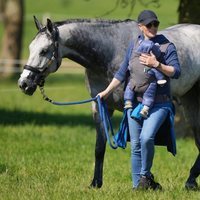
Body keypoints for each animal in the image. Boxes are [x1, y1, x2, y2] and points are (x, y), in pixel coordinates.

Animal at [18, 17, 199, 189]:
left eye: (44, 51)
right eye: (30, 48)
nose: (24, 84)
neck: (110, 53)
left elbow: (140, 142)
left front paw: (148, 181)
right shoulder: (99, 106)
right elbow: (99, 147)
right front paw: (96, 183)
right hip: (189, 102)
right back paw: (191, 181)